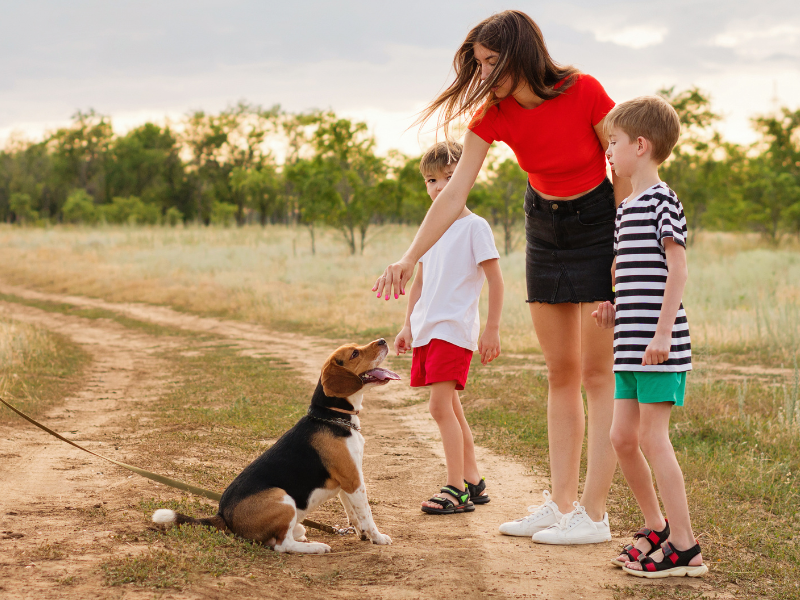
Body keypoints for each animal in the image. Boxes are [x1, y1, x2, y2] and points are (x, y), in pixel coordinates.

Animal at [151, 338, 400, 552]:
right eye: (355, 353)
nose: (383, 340)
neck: (331, 416)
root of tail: (223, 515)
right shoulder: (354, 480)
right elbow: (366, 513)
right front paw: (378, 537)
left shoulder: (347, 482)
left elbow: (354, 513)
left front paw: (363, 534)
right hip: (283, 498)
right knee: (283, 545)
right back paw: (316, 547)